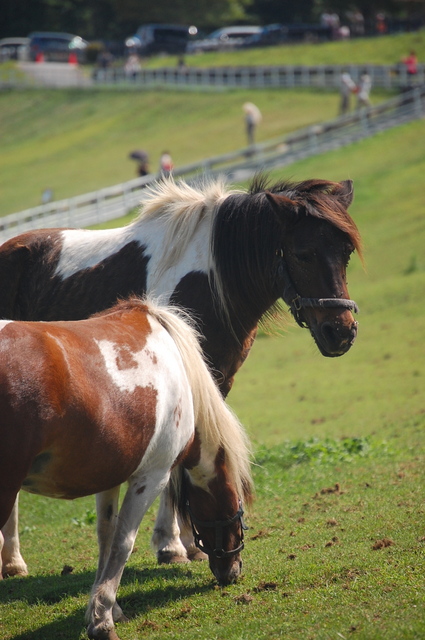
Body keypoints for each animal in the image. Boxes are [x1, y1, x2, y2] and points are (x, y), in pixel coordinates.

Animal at [0, 174, 362, 576]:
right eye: (302, 254)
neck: (212, 278)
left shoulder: (216, 379)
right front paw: (173, 544)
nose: (340, 331)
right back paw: (12, 560)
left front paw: (188, 543)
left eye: (346, 253)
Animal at [0, 298, 252, 640]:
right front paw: (102, 621)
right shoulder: (152, 477)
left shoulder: (109, 475)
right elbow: (123, 542)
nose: (233, 570)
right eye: (238, 504)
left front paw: (107, 608)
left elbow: (106, 538)